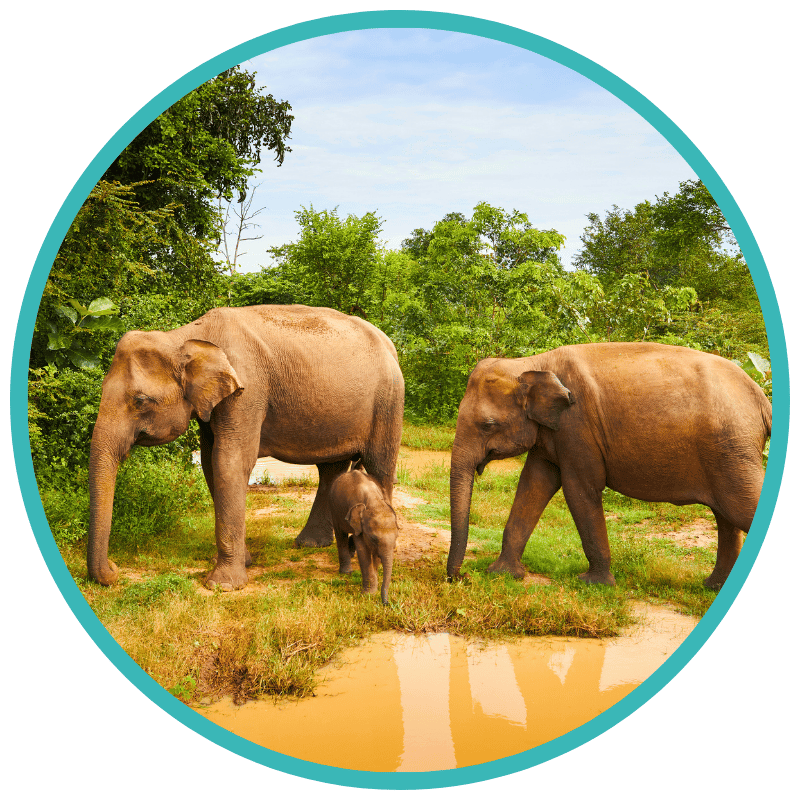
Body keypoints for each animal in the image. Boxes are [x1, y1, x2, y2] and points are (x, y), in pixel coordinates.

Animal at [87, 304, 404, 590]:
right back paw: (311, 545)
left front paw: (223, 585)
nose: (114, 571)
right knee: (332, 469)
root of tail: (389, 343)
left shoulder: (248, 392)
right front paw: (245, 562)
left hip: (388, 400)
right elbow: (210, 463)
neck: (184, 336)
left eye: (140, 400)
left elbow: (229, 461)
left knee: (380, 464)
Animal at [329, 464, 399, 605]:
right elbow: (364, 552)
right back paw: (346, 572)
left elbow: (375, 555)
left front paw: (373, 589)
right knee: (340, 536)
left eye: (396, 538)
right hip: (334, 508)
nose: (387, 603)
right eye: (373, 538)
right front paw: (368, 595)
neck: (374, 501)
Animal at [448, 342, 771, 589]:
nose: (460, 578)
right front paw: (502, 574)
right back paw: (712, 587)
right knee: (726, 516)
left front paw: (593, 584)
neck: (531, 363)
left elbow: (579, 490)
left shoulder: (577, 427)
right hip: (727, 452)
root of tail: (760, 395)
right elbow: (534, 484)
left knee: (739, 508)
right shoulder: (552, 434)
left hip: (731, 447)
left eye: (488, 425)